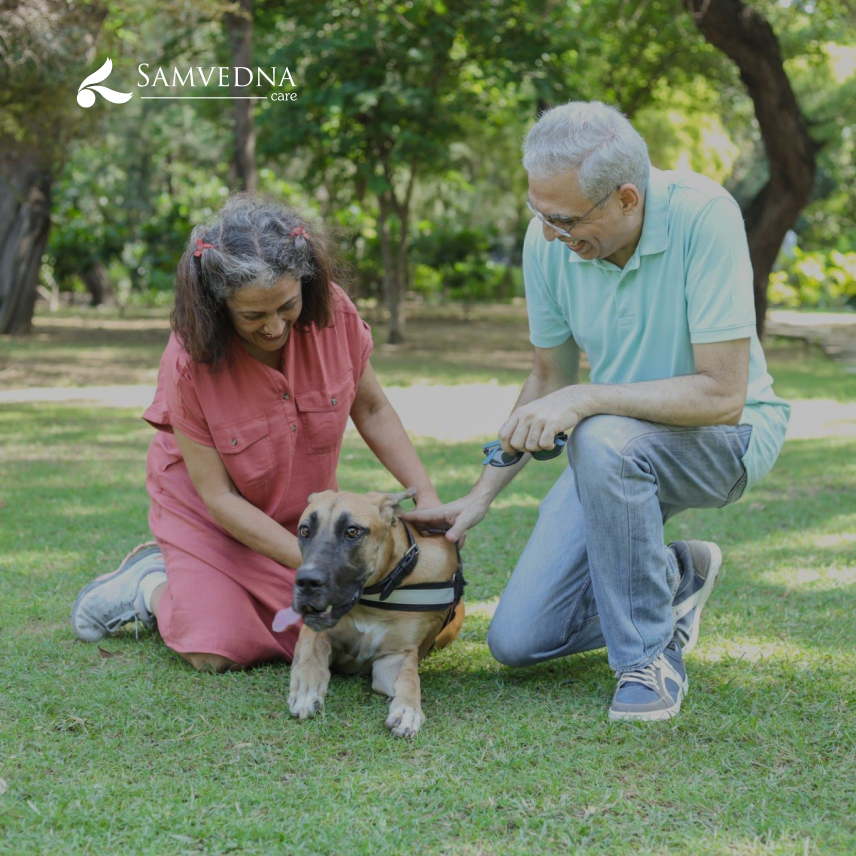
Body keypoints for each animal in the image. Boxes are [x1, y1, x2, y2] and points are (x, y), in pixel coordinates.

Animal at [288, 488, 464, 736]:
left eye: (352, 531)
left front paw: (407, 710)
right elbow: (312, 653)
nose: (306, 581)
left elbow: (410, 680)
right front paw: (306, 690)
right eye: (305, 530)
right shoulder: (315, 630)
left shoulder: (396, 657)